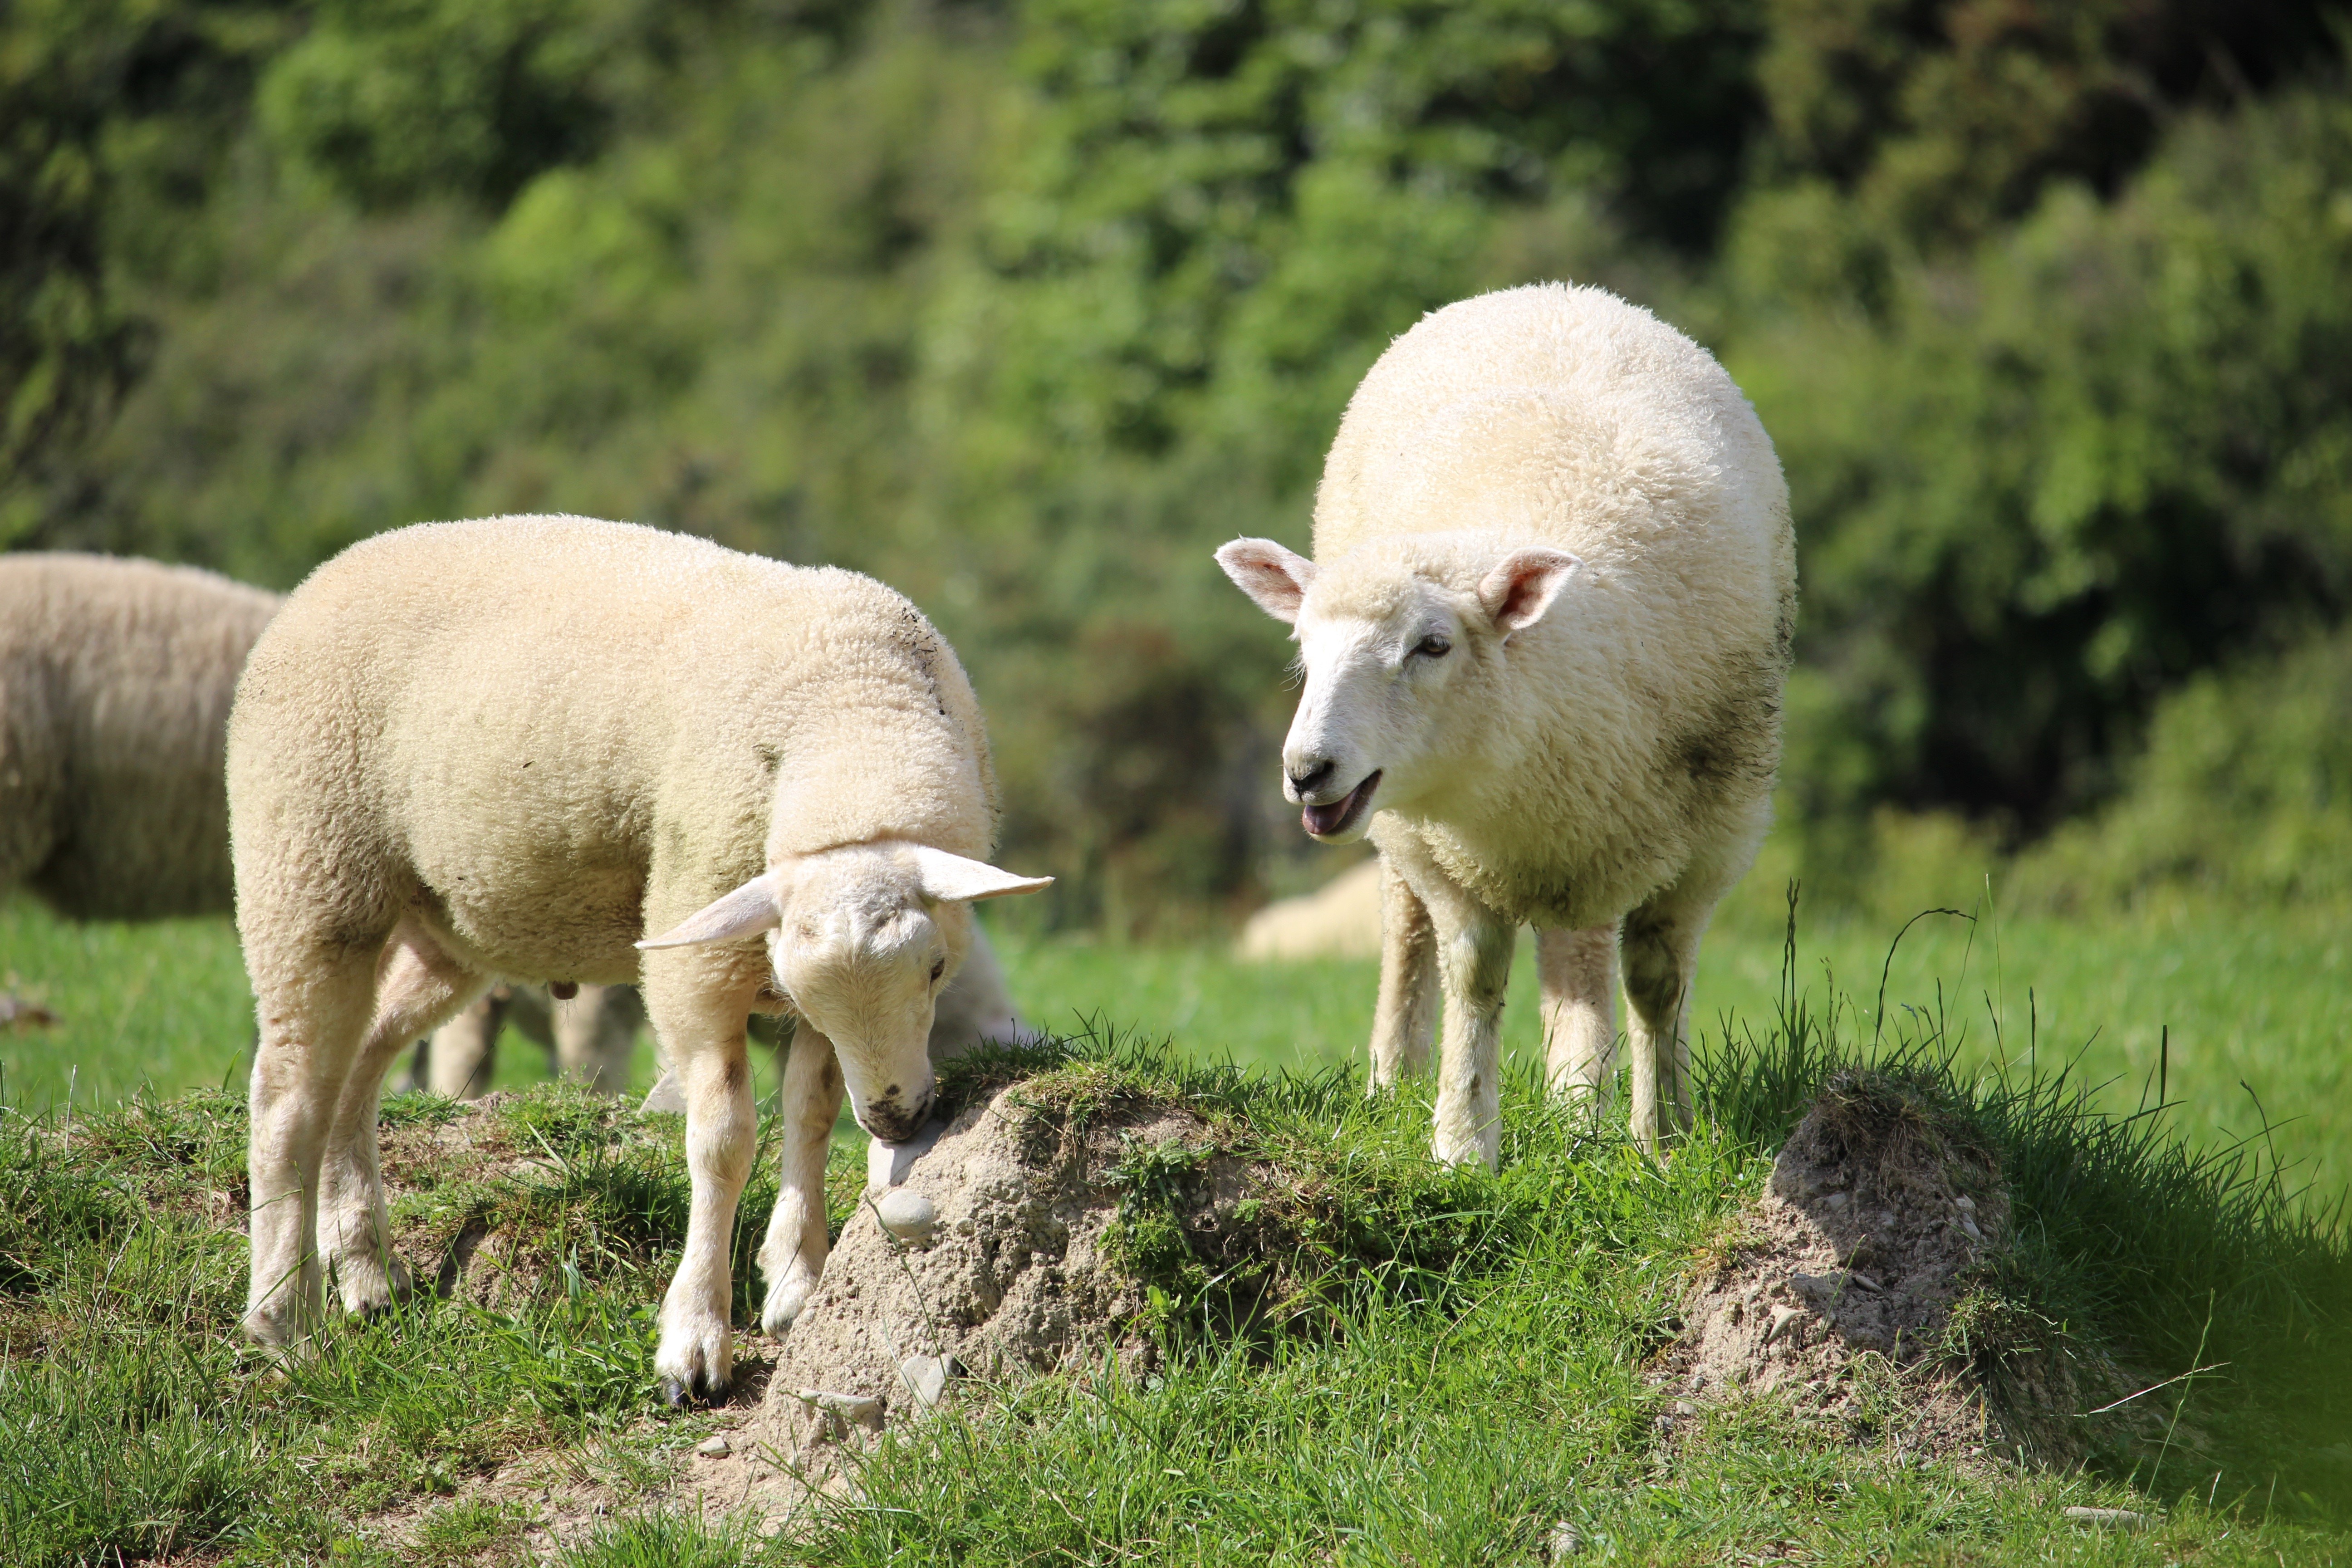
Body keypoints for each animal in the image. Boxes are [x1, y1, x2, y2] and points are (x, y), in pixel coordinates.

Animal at [228, 515, 1049, 1403]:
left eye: (934, 970)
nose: (897, 1120)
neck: (854, 707)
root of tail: (327, 574)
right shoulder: (696, 957)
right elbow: (722, 1140)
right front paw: (695, 1338)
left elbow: (811, 1109)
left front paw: (797, 1280)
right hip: (308, 867)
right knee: (289, 1096)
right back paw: (286, 1322)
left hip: (446, 924)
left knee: (362, 1058)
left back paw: (363, 1267)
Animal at [1215, 282, 1795, 1165]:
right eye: (1302, 647)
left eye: (1433, 644)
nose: (1305, 770)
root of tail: (1549, 292)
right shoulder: (1445, 855)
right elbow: (1473, 975)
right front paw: (1462, 1141)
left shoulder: (1710, 841)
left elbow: (1655, 981)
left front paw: (1661, 1139)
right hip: (1421, 841)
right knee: (1407, 937)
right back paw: (1398, 1081)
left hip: (1594, 842)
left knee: (1577, 962)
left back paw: (1577, 1109)